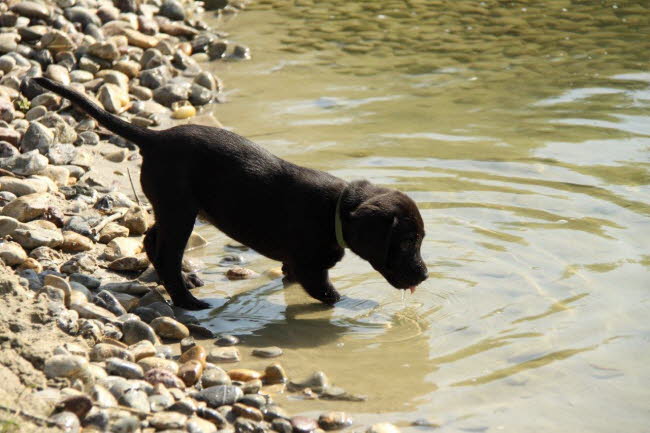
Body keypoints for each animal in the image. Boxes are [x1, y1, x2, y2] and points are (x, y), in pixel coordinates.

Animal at [33, 77, 428, 308]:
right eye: (407, 242)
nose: (424, 276)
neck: (336, 211)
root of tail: (155, 138)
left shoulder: (296, 264)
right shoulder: (310, 267)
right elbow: (330, 294)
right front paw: (356, 306)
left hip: (171, 207)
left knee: (151, 240)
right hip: (181, 210)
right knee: (166, 254)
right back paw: (188, 300)